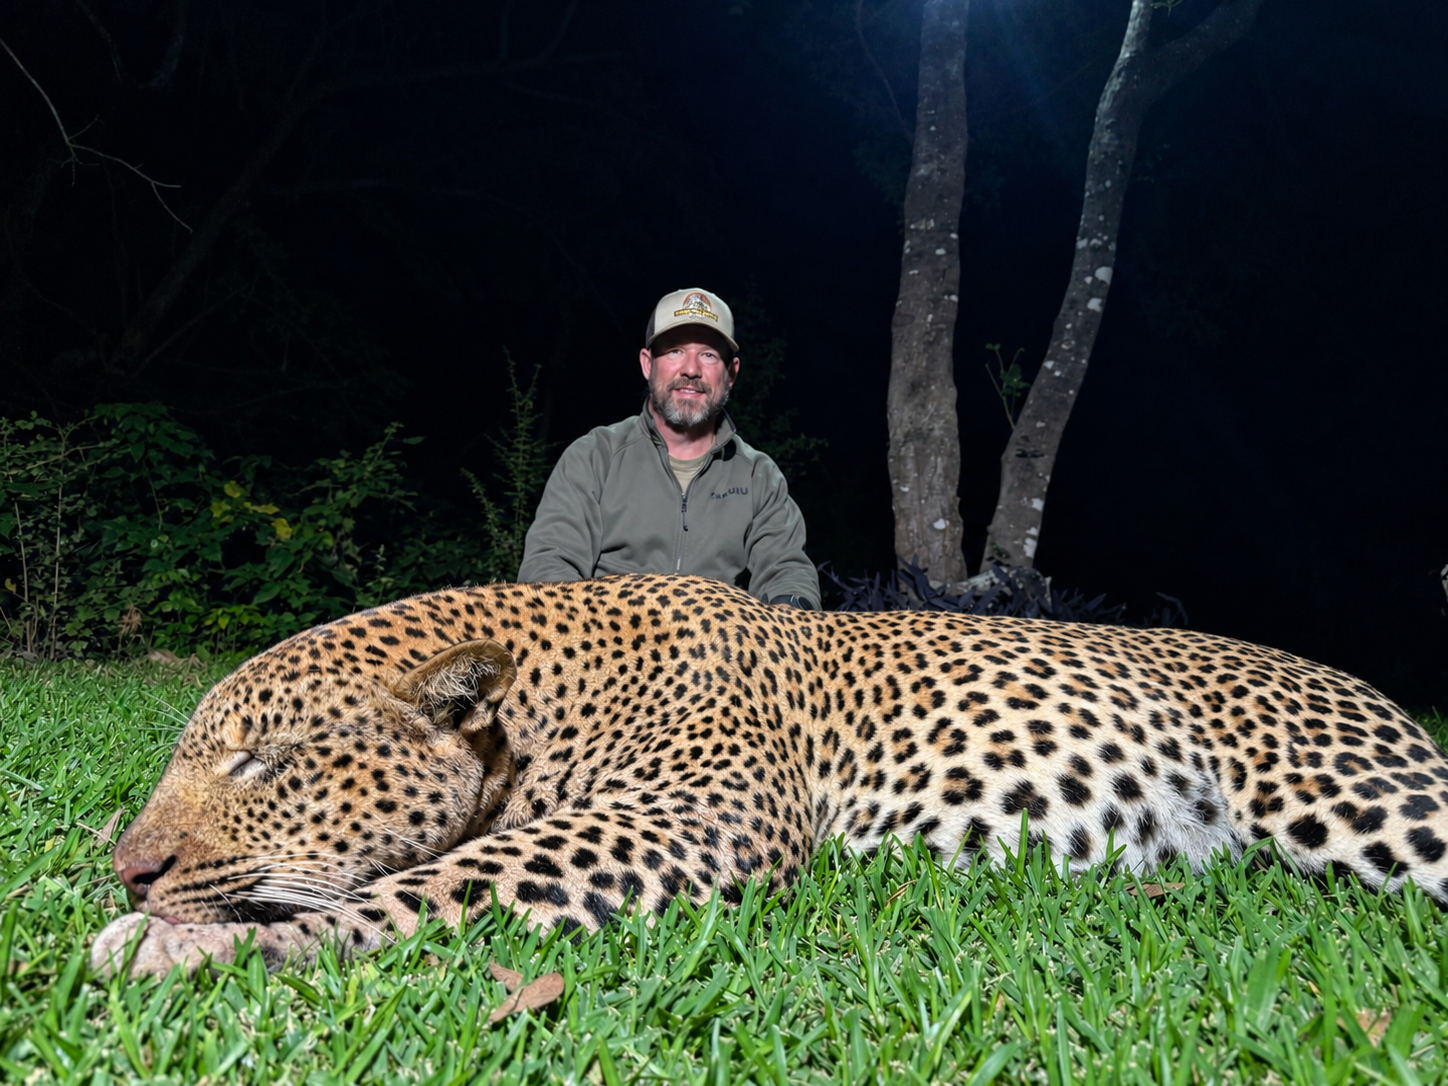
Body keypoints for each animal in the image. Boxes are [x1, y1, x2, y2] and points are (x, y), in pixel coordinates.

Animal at [92, 574, 1448, 976]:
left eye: (260, 758)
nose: (128, 869)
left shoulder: (692, 813)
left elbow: (444, 883)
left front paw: (180, 945)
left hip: (1358, 799)